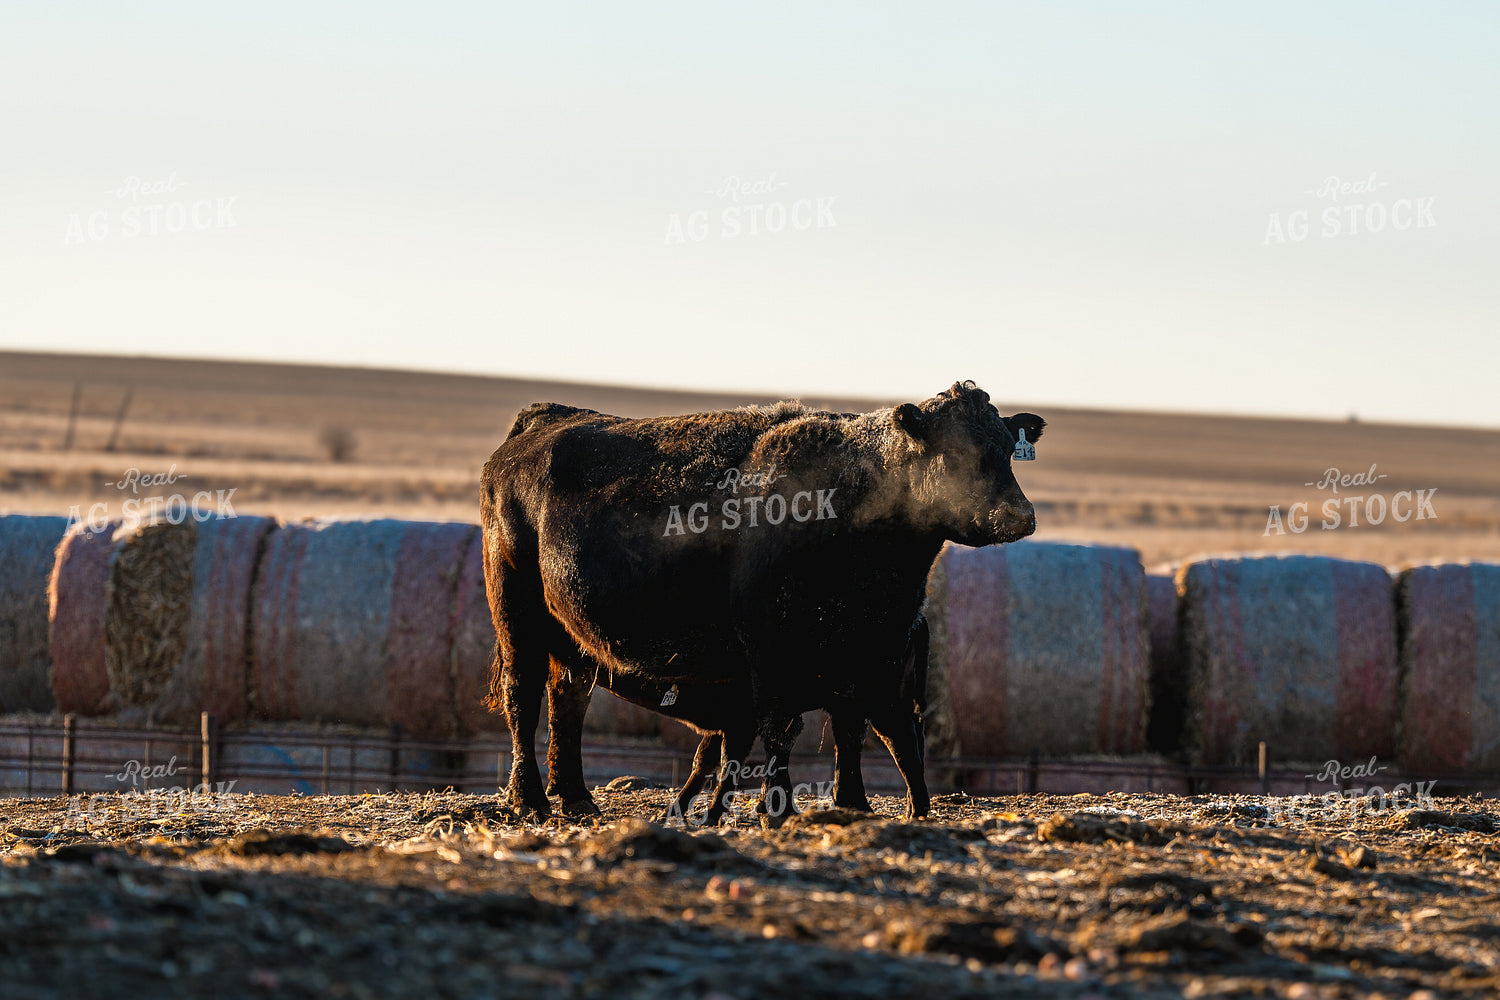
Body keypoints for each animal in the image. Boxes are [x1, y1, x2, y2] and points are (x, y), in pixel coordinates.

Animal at [481, 381, 1043, 822]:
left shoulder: (866, 656)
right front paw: (779, 807)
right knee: (522, 698)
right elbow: (779, 730)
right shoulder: (772, 651)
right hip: (516, 613)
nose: (1020, 515)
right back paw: (529, 799)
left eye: (1005, 447)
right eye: (956, 454)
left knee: (568, 701)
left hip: (571, 636)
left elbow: (851, 730)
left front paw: (852, 805)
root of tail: (546, 419)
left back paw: (575, 797)